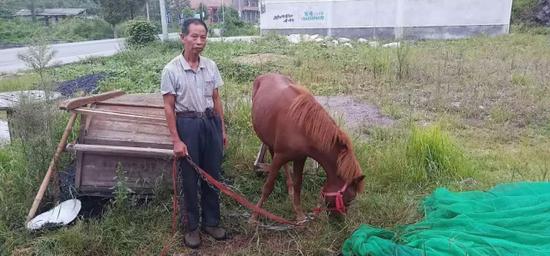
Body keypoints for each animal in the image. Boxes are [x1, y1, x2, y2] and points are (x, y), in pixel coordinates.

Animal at [251, 73, 364, 222]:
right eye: (349, 199)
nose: (340, 222)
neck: (303, 127)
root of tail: (265, 75)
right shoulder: (281, 156)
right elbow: (268, 187)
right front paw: (254, 215)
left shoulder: (300, 158)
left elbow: (298, 185)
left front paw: (299, 215)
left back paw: (289, 188)